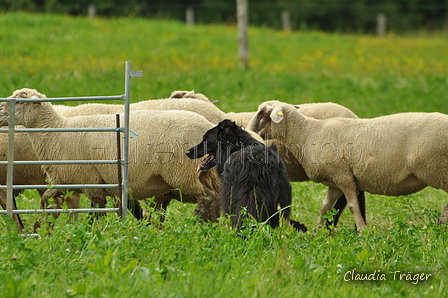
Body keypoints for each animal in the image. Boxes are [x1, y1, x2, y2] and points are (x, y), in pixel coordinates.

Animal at [0, 89, 222, 225]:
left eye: (19, 101)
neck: (56, 131)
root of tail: (206, 126)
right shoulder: (67, 180)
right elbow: (46, 199)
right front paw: (40, 226)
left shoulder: (91, 182)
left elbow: (95, 213)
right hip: (203, 174)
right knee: (214, 198)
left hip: (181, 174)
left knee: (208, 197)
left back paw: (194, 221)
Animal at [247, 100, 448, 230]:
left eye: (263, 114)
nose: (249, 132)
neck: (308, 133)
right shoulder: (334, 181)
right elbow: (325, 207)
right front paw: (318, 232)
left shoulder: (343, 176)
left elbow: (352, 205)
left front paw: (362, 231)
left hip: (437, 169)